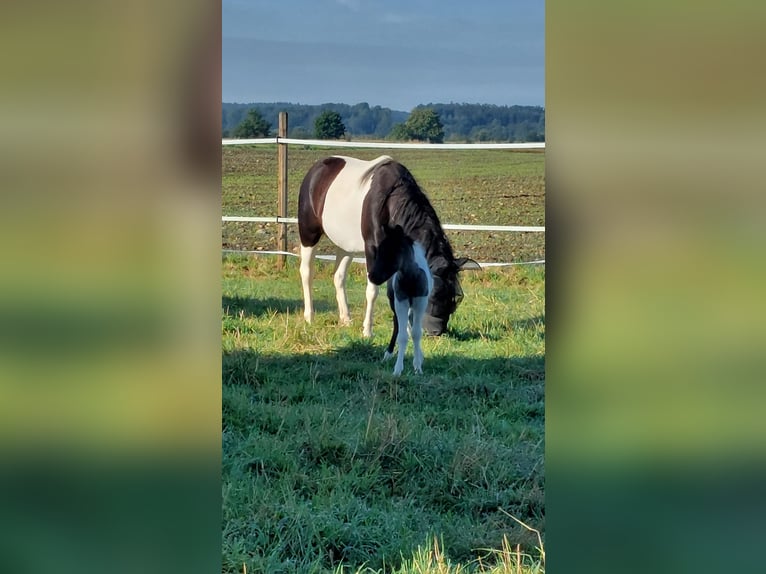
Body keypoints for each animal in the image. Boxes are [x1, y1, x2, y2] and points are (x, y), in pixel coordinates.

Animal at [300, 155, 480, 340]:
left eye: (455, 297)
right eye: (433, 292)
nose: (437, 331)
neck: (390, 204)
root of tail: (317, 167)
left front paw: (405, 330)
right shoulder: (373, 251)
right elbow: (372, 292)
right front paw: (367, 331)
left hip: (345, 244)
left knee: (339, 276)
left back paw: (346, 319)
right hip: (308, 234)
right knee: (306, 272)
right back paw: (309, 317)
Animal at [368, 223, 436, 376]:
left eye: (391, 252)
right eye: (378, 251)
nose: (372, 276)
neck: (410, 278)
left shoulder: (420, 302)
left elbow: (417, 333)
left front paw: (418, 367)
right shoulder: (401, 302)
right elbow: (403, 335)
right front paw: (398, 370)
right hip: (394, 302)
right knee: (397, 323)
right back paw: (388, 354)